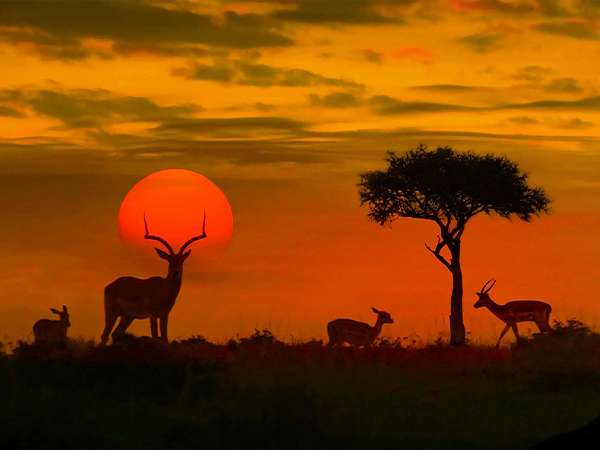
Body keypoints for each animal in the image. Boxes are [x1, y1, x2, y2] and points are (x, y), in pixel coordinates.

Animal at [100, 211, 206, 344]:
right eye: (169, 260)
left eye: (182, 261)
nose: (175, 273)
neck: (163, 291)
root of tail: (110, 285)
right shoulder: (153, 315)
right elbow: (155, 336)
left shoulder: (164, 315)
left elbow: (164, 337)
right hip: (112, 313)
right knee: (105, 335)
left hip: (128, 317)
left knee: (115, 334)